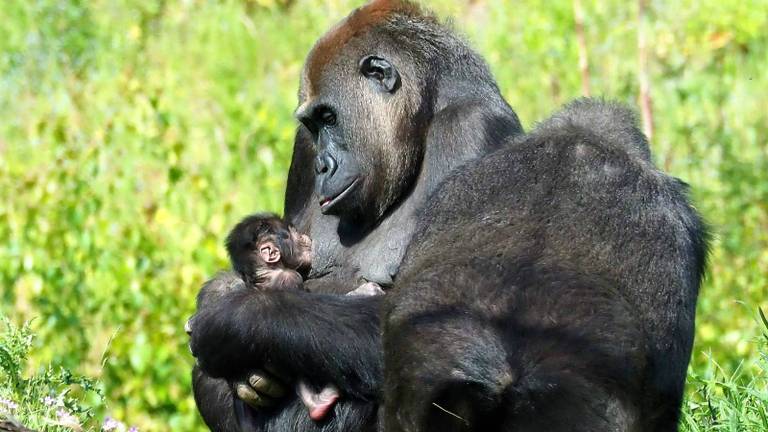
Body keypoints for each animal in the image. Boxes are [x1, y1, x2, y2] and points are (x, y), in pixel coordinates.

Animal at [228, 213, 384, 422]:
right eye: (291, 233)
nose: (303, 236)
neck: (265, 273)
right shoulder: (290, 278)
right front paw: (366, 291)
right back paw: (318, 402)